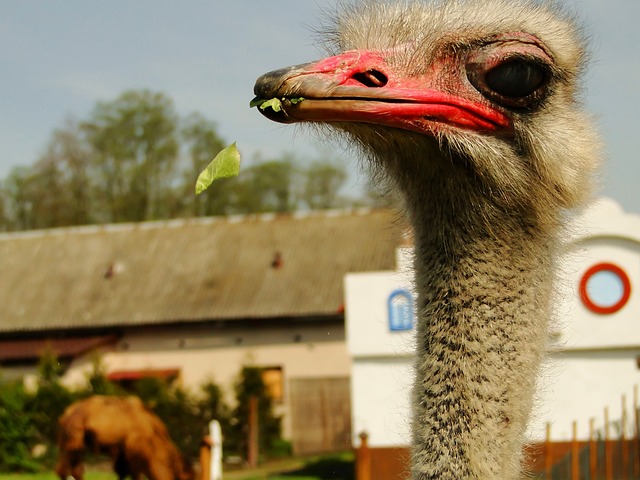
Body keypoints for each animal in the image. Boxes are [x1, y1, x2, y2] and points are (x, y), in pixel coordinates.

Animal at [55, 396, 194, 480]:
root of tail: (68, 413)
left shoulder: (121, 452)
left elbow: (122, 472)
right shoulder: (134, 453)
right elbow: (134, 473)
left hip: (71, 446)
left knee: (71, 470)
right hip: (74, 446)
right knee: (68, 470)